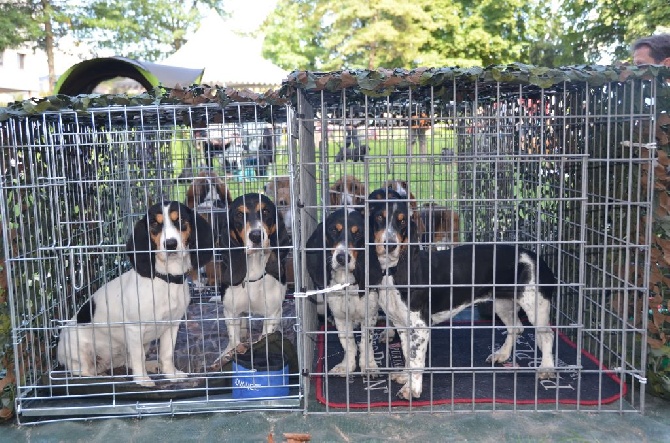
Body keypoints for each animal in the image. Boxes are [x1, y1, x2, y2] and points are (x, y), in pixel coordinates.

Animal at [60, 203, 214, 386]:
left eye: (181, 220)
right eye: (154, 224)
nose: (170, 244)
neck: (166, 280)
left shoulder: (172, 324)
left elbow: (167, 354)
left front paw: (171, 374)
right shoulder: (135, 328)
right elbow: (138, 357)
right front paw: (142, 380)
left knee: (128, 362)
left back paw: (153, 365)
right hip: (78, 348)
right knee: (83, 372)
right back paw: (101, 378)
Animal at [308, 210, 384, 376]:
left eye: (358, 233)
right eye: (333, 230)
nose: (342, 258)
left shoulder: (369, 315)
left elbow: (366, 344)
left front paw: (369, 365)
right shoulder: (341, 318)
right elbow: (348, 343)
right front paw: (347, 366)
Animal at [370, 193, 560, 400]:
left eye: (402, 221)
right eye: (379, 217)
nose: (390, 244)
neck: (391, 272)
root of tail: (536, 258)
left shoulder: (420, 326)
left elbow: (416, 360)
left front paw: (411, 389)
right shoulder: (402, 325)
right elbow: (407, 355)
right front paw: (405, 376)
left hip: (535, 307)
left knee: (547, 336)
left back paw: (547, 368)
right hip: (502, 305)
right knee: (516, 328)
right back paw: (501, 354)